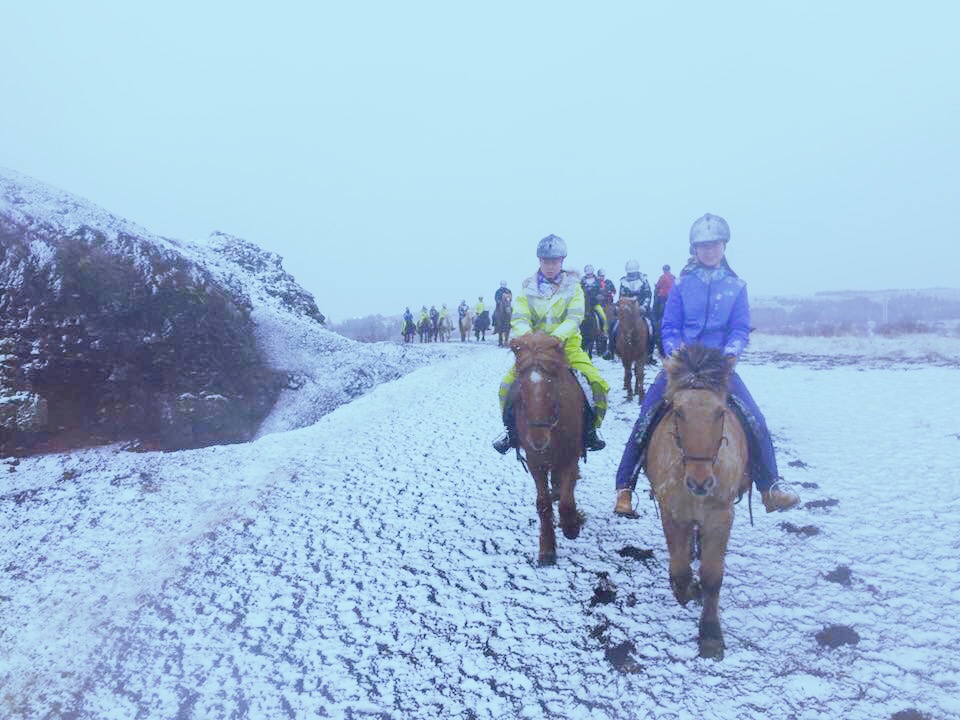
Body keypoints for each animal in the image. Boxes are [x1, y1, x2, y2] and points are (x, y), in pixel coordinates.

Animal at [510, 330, 584, 564]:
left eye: (553, 385)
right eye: (521, 386)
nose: (538, 439)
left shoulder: (571, 456)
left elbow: (567, 497)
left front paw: (571, 526)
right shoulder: (535, 461)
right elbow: (543, 503)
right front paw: (547, 549)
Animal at [644, 346, 752, 660]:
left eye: (721, 411)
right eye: (678, 411)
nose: (700, 482)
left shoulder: (720, 518)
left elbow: (713, 576)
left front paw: (711, 635)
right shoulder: (672, 513)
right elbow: (680, 570)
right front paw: (690, 589)